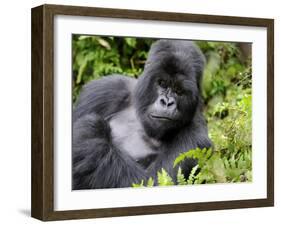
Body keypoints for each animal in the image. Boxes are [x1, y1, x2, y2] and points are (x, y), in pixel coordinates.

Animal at [71, 40, 210, 189]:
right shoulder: (104, 89)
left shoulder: (196, 138)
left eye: (179, 91)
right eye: (162, 83)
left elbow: (149, 180)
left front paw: (91, 132)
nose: (167, 102)